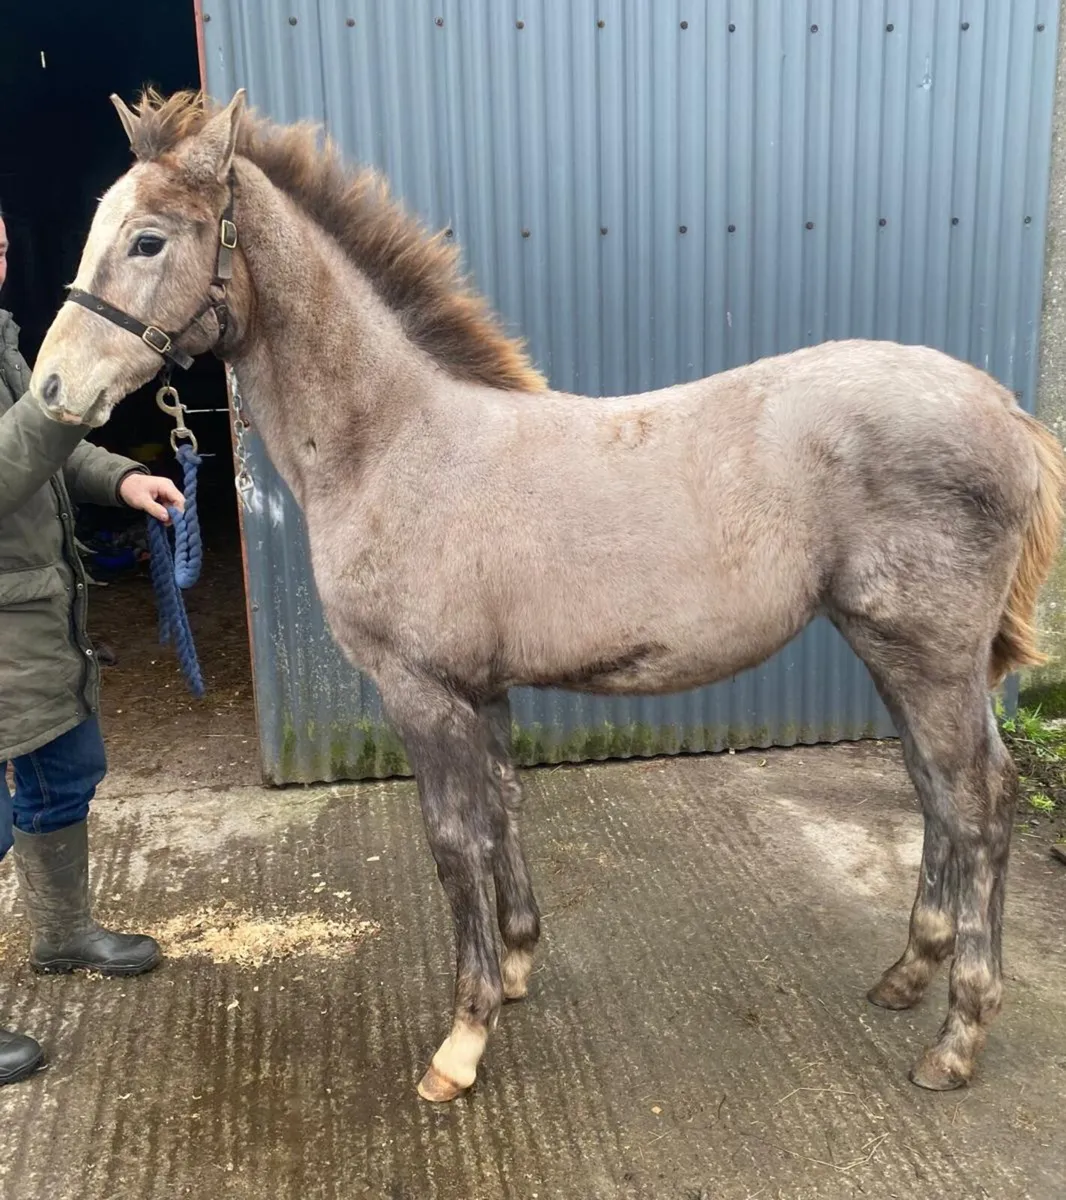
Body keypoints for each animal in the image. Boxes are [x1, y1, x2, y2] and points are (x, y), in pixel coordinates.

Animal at [30, 89, 1065, 1103]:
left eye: (149, 239)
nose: (52, 388)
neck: (394, 443)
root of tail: (1006, 409)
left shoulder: (419, 691)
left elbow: (454, 839)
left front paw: (461, 1041)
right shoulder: (479, 689)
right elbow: (501, 810)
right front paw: (520, 966)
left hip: (927, 656)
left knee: (978, 799)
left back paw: (958, 1037)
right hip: (899, 653)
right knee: (936, 792)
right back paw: (907, 975)